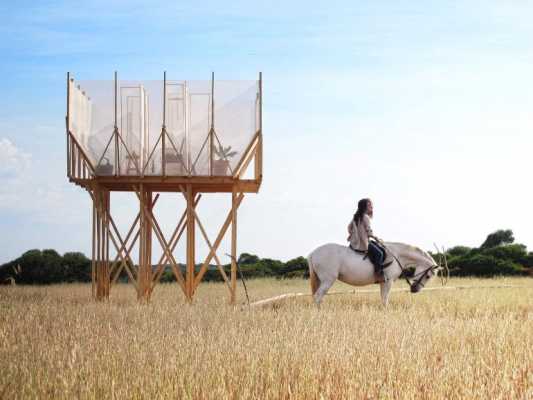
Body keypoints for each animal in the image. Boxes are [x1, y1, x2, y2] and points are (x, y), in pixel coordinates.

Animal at [308, 241, 444, 306]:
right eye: (428, 276)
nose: (415, 290)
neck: (396, 255)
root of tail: (313, 253)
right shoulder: (388, 282)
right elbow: (385, 299)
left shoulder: (383, 283)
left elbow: (383, 298)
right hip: (327, 280)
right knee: (318, 297)